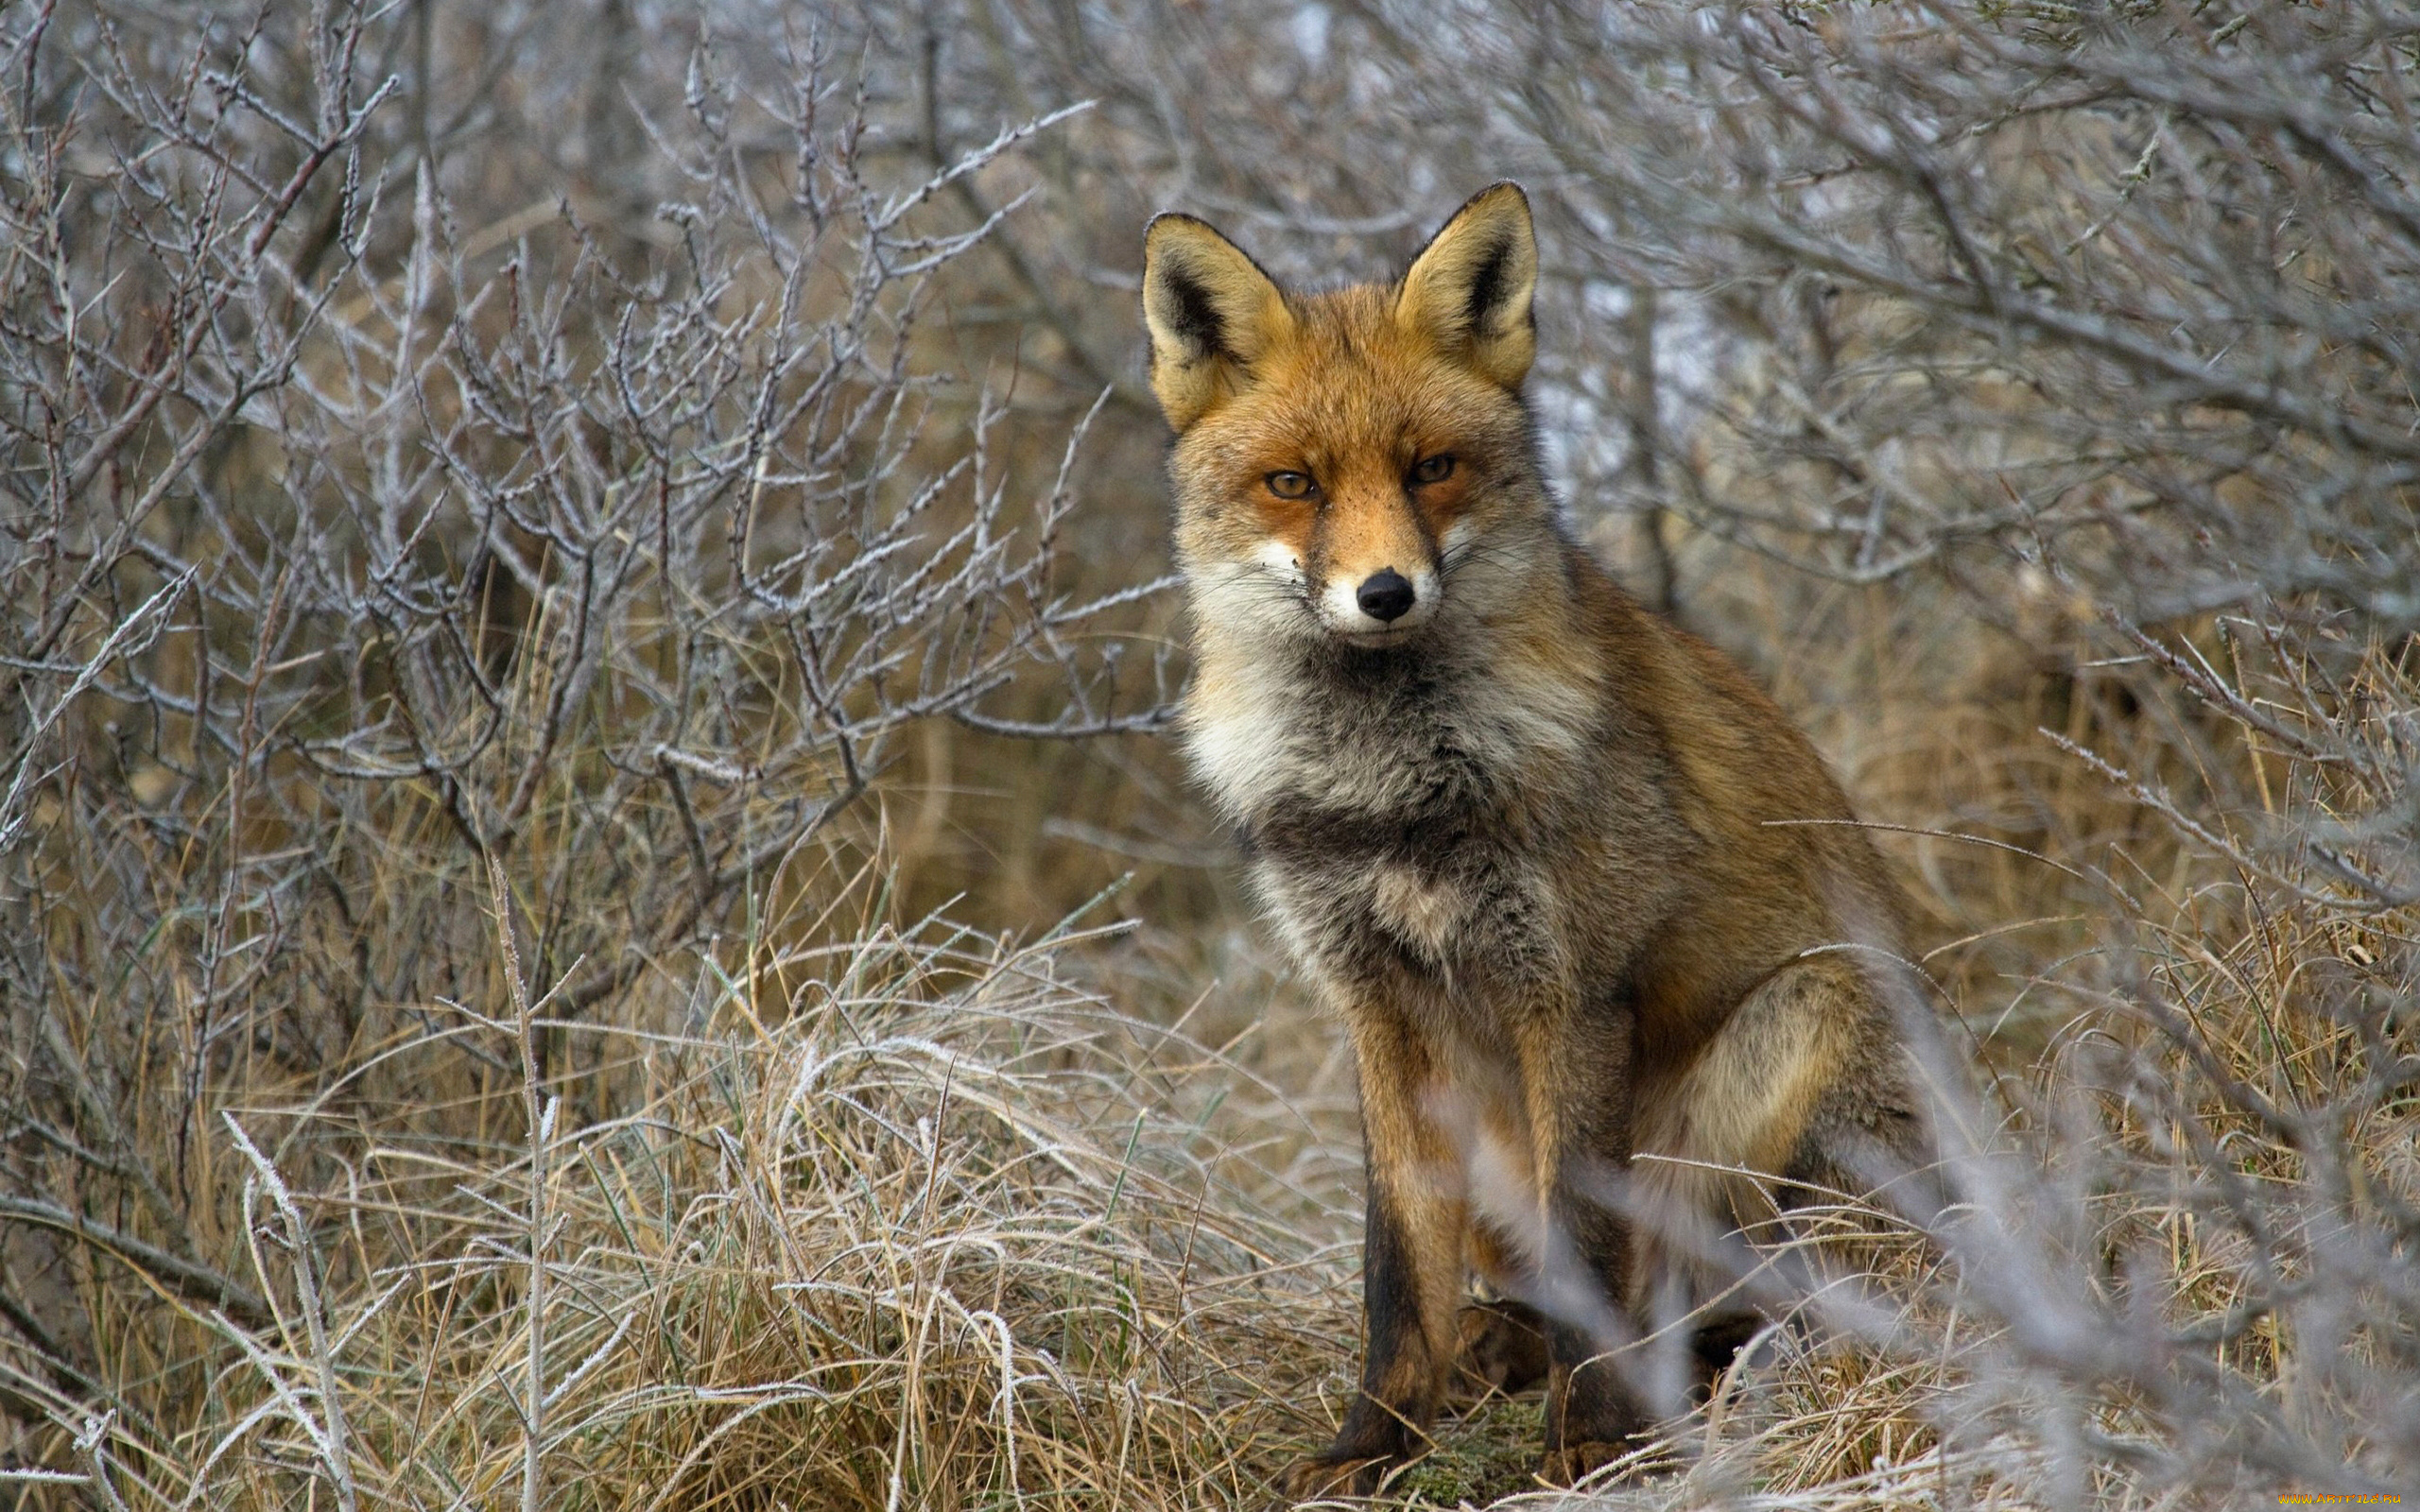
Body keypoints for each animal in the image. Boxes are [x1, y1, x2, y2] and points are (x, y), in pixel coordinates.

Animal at [1142, 182, 1936, 1489]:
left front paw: (1592, 1439)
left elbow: (1587, 1238)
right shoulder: (1376, 1009)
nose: (1384, 594)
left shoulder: (1571, 993)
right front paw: (1375, 1441)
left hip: (1793, 1037)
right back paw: (1497, 1350)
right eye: (1293, 484)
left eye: (1433, 468)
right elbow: (1393, 1265)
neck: (1392, 798)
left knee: (1749, 1295)